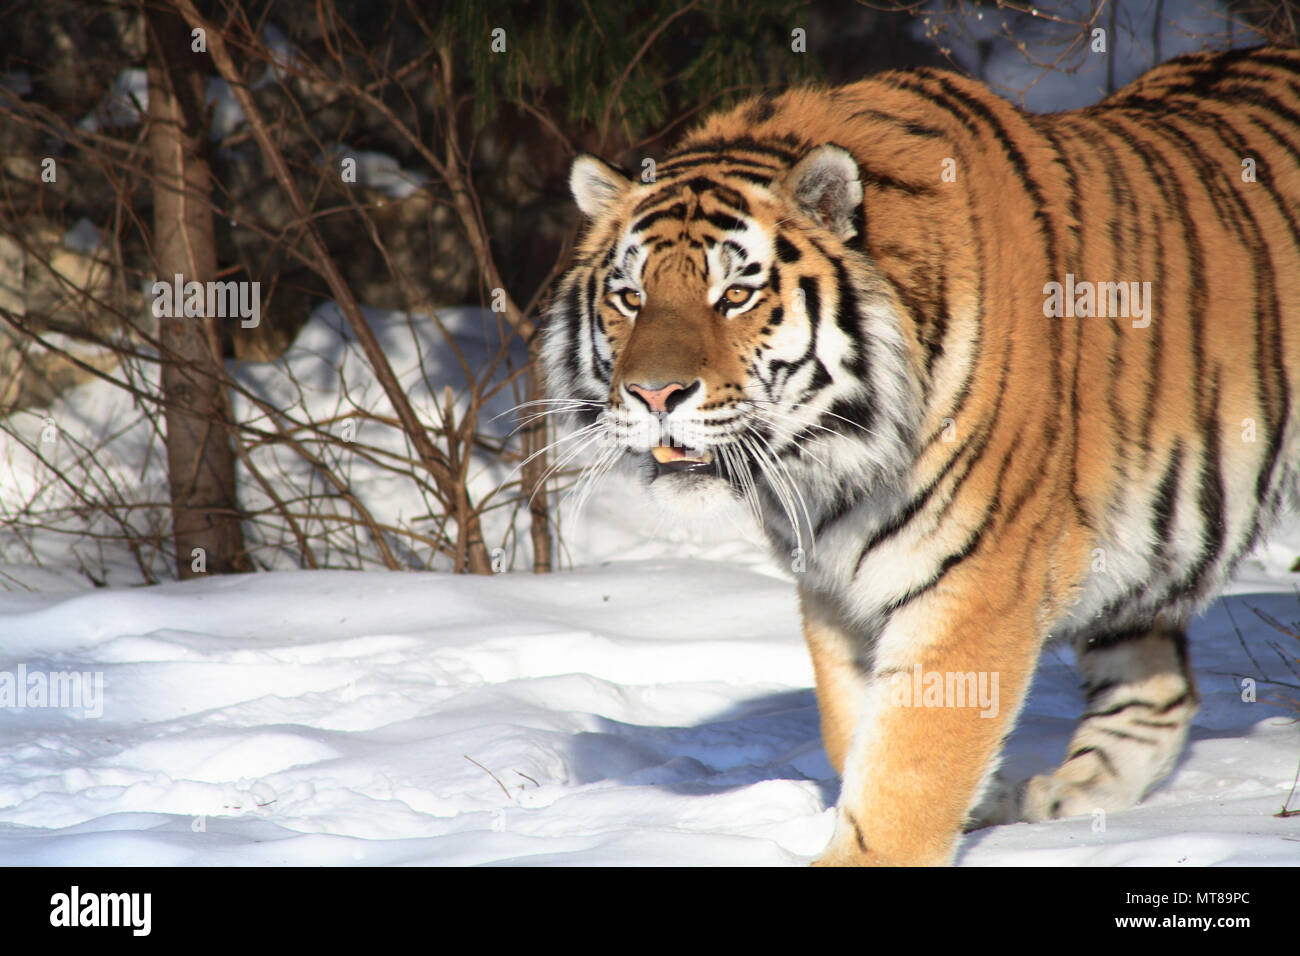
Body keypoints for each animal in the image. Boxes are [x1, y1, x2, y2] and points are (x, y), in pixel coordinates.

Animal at [538, 46, 1300, 868]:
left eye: (736, 294)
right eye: (629, 296)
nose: (655, 393)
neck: (828, 461)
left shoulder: (980, 581)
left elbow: (909, 770)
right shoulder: (833, 591)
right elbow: (853, 736)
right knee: (1156, 693)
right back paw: (1058, 801)